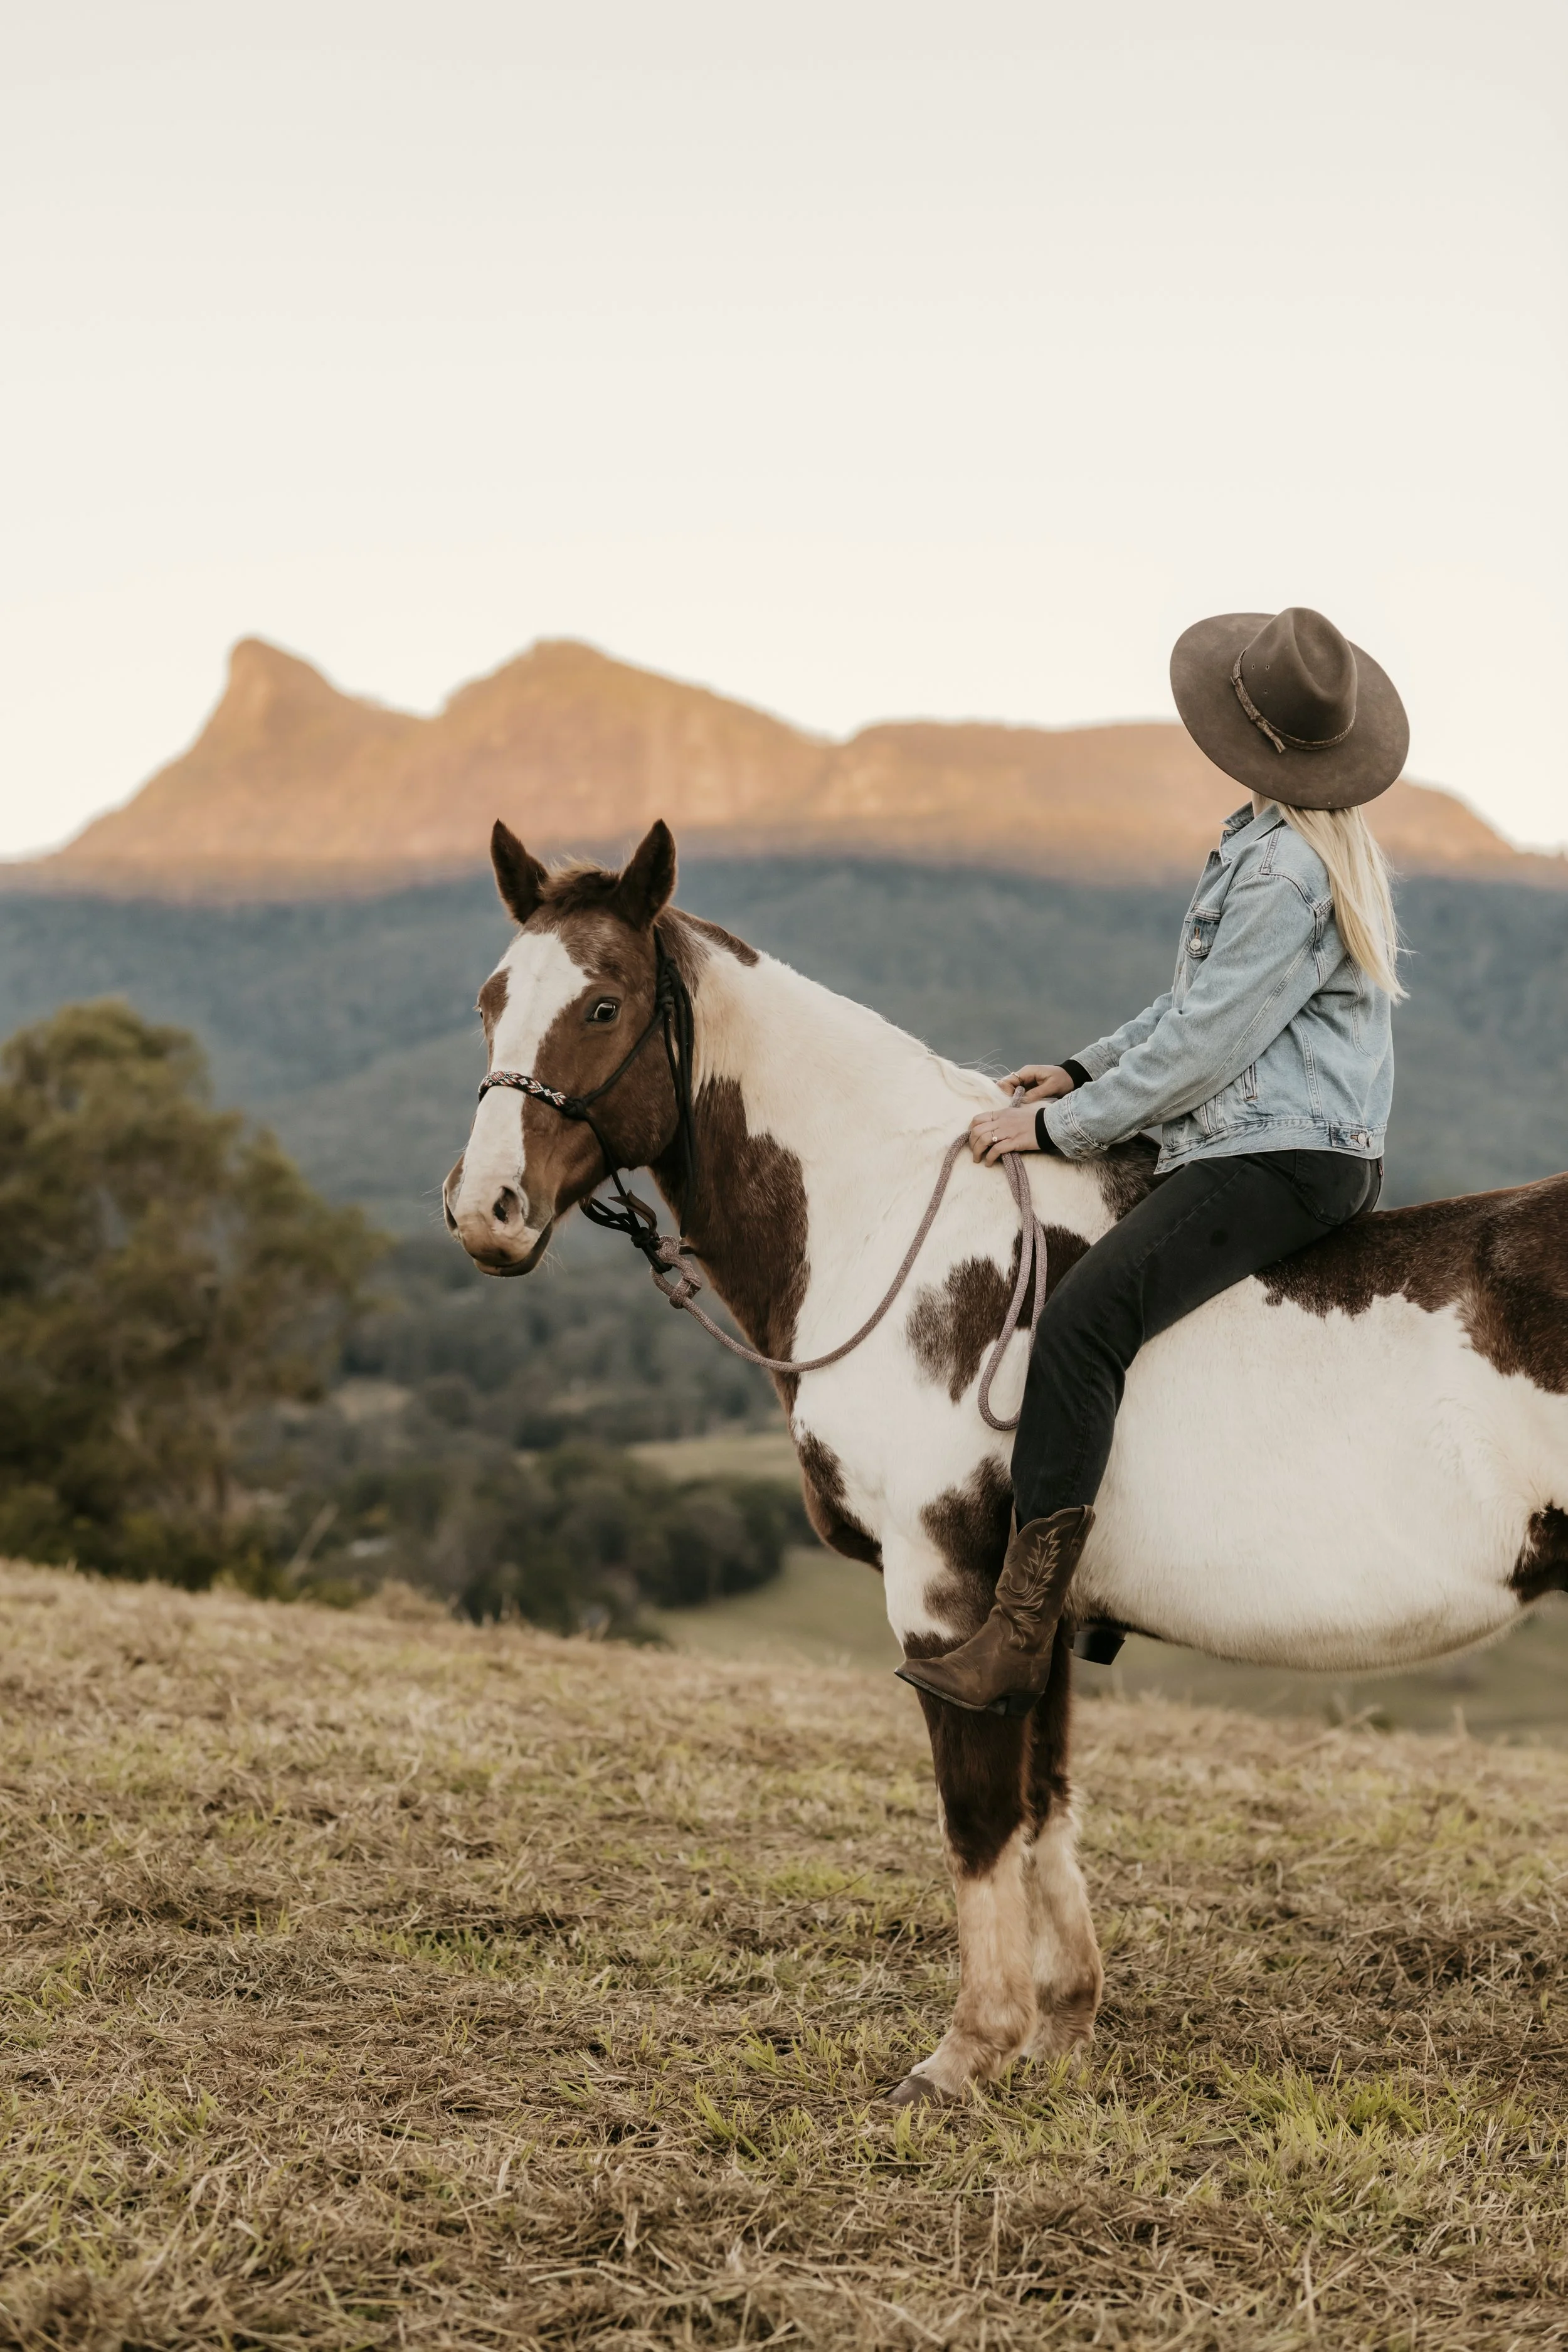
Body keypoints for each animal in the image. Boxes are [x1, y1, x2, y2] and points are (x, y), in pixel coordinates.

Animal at [444, 817, 1568, 2107]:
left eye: (603, 1004)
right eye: (491, 1000)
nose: (485, 1209)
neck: (896, 1227)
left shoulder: (944, 1590)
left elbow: (978, 1810)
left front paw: (965, 2052)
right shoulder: (1038, 1607)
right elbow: (1044, 1802)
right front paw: (1061, 2023)